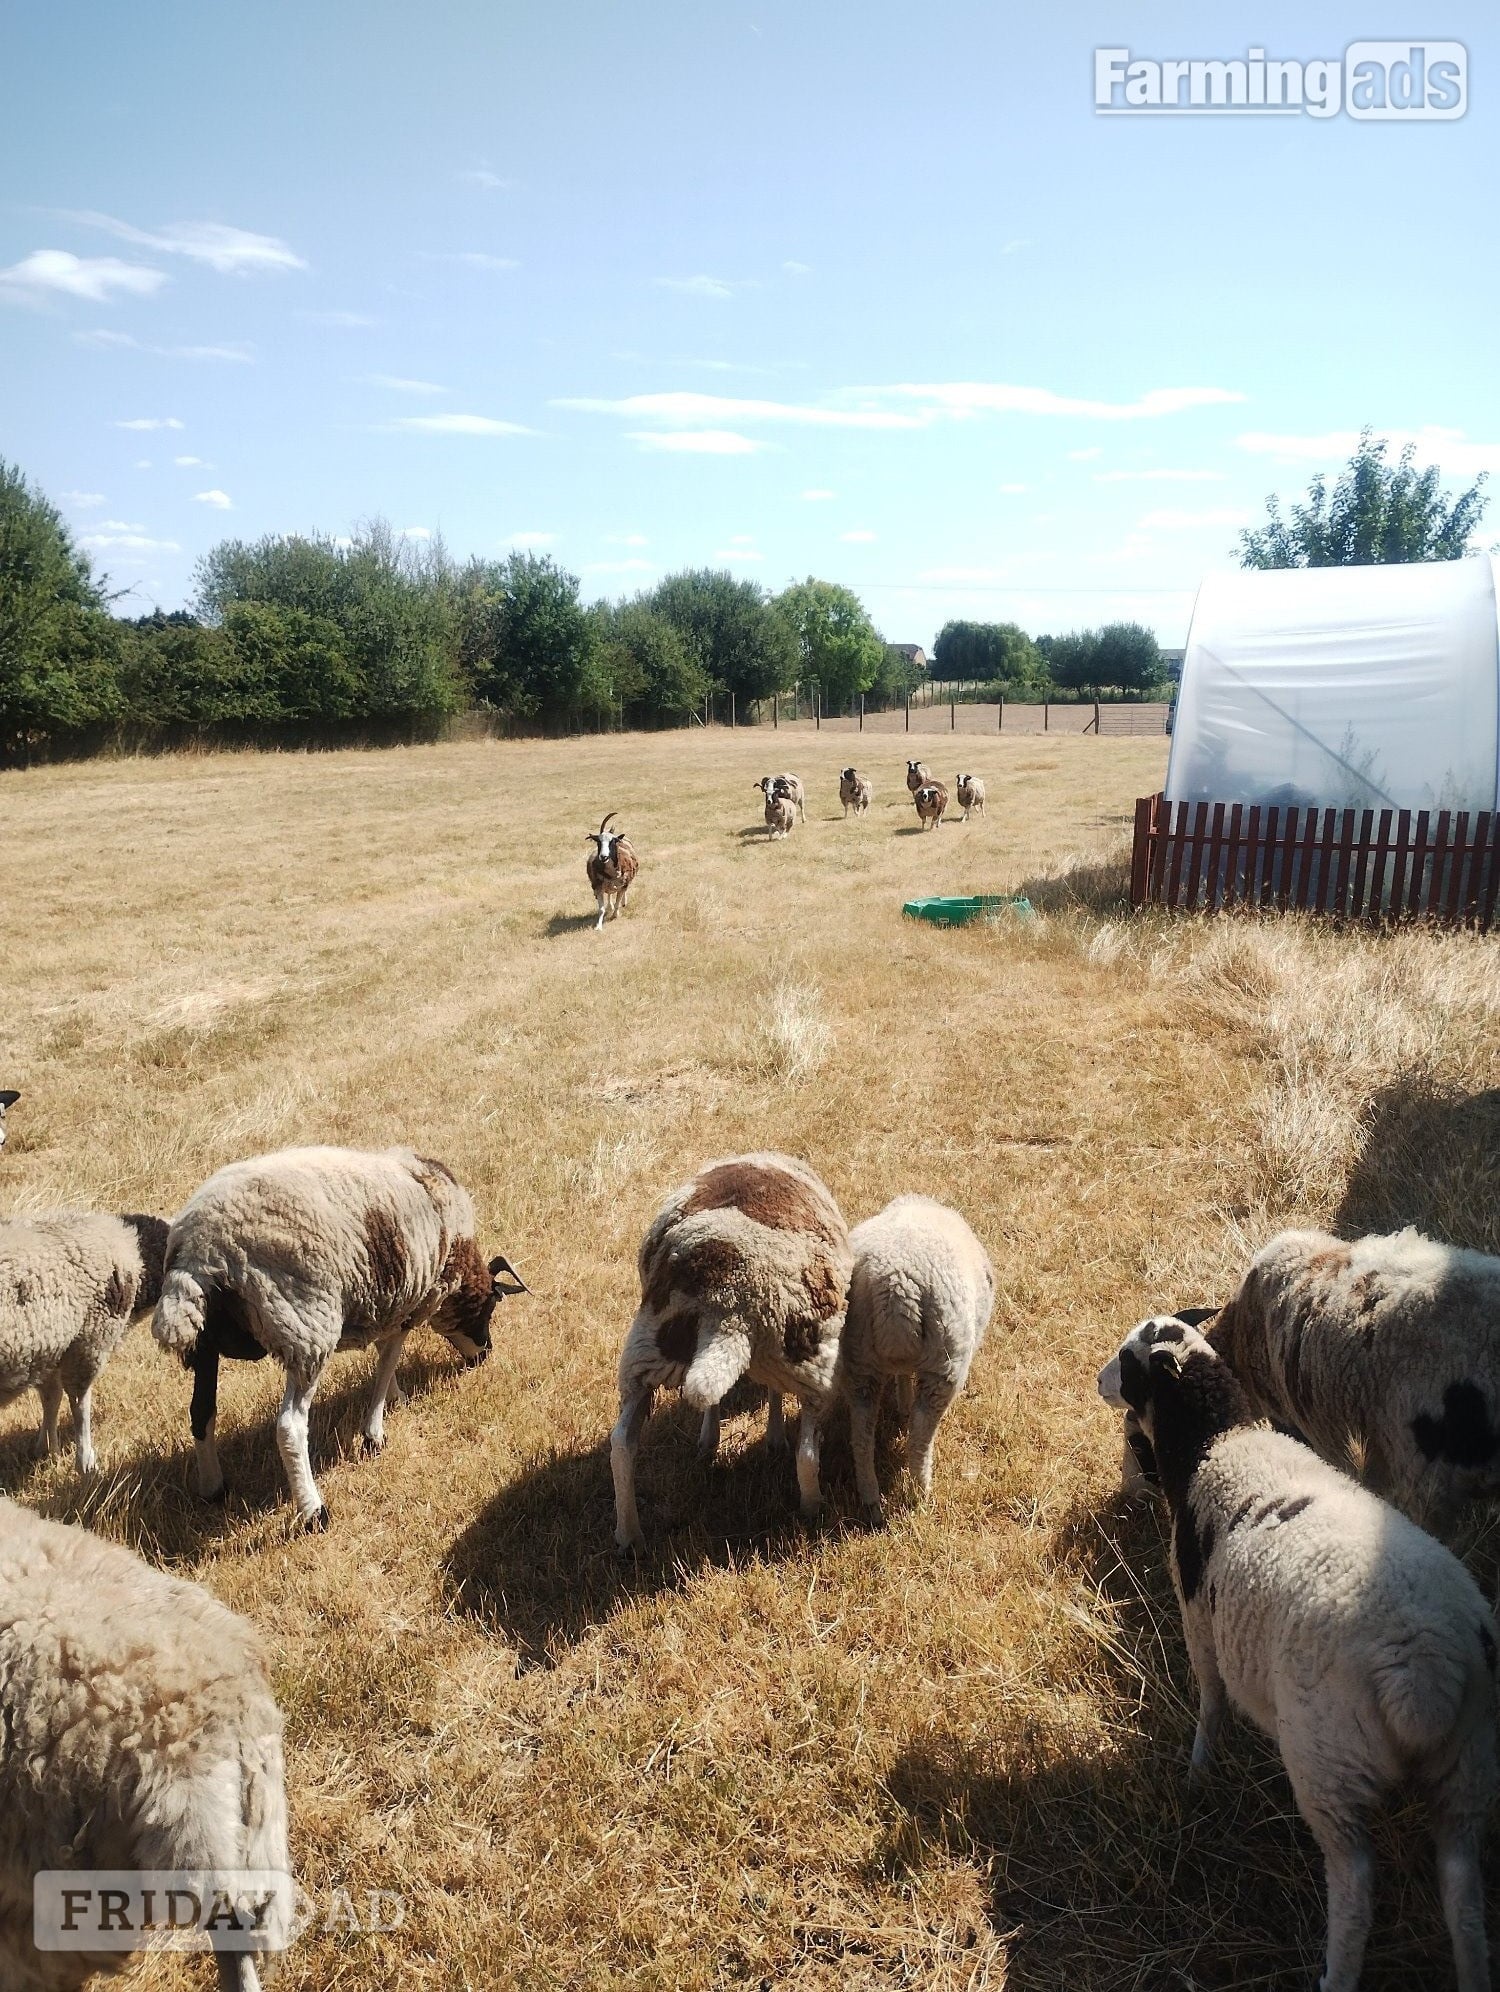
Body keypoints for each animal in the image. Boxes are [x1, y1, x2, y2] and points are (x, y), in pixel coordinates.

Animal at [0, 1209, 168, 1476]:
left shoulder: (50, 1349)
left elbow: (51, 1398)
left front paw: (47, 1450)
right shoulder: (88, 1343)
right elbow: (79, 1404)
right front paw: (86, 1463)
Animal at [153, 1145, 528, 1531]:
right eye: (491, 1306)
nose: (484, 1354)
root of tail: (200, 1252)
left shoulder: (387, 1303)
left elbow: (383, 1353)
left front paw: (395, 1398)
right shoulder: (410, 1300)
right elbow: (387, 1359)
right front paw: (374, 1433)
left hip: (205, 1342)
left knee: (201, 1412)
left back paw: (213, 1488)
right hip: (306, 1328)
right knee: (289, 1426)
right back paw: (313, 1511)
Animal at [610, 1152, 854, 1552]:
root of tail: (727, 1300)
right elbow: (777, 1400)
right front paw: (774, 1437)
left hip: (645, 1353)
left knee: (622, 1446)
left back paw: (629, 1534)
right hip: (813, 1366)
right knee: (807, 1452)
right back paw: (813, 1508)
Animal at [843, 1195, 994, 1515]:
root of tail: (895, 1283)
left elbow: (901, 1376)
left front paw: (902, 1402)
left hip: (858, 1358)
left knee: (862, 1431)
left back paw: (870, 1496)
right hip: (945, 1361)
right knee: (921, 1433)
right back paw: (920, 1491)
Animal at [1099, 1315, 1497, 1992]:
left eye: (1128, 1362)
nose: (1098, 1380)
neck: (1216, 1443)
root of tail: (1423, 1672)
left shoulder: (1197, 1614)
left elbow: (1210, 1700)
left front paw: (1198, 1772)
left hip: (1329, 1764)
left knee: (1356, 1886)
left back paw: (1336, 1973)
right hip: (1466, 1769)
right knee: (1464, 1896)